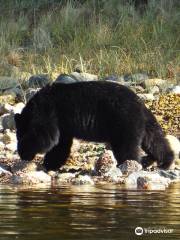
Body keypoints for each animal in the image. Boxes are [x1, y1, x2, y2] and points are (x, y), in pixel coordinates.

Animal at [14, 81, 174, 171]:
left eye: (19, 134)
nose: (19, 139)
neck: (33, 108)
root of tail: (140, 104)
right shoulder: (63, 125)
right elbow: (59, 145)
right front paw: (50, 163)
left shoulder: (48, 110)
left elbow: (45, 135)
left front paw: (25, 153)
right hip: (144, 123)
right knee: (155, 140)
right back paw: (164, 162)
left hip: (123, 121)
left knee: (126, 147)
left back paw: (129, 164)